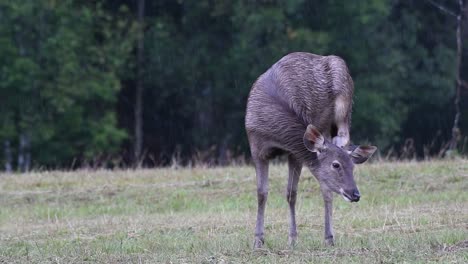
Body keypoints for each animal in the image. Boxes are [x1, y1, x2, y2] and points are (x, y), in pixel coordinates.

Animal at [245, 52, 376, 249]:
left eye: (353, 167)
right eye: (335, 165)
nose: (355, 194)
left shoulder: (294, 153)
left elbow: (291, 193)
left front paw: (292, 238)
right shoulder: (257, 148)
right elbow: (262, 193)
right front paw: (258, 240)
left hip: (343, 111)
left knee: (328, 187)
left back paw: (329, 237)